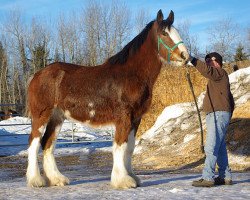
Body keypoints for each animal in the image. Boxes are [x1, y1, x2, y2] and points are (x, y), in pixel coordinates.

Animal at [26, 9, 188, 188]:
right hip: (41, 115)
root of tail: (37, 75)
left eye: (176, 32)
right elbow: (120, 146)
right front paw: (123, 180)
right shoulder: (124, 117)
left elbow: (129, 148)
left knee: (48, 143)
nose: (185, 56)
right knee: (34, 143)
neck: (131, 75)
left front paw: (132, 176)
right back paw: (36, 180)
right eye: (164, 33)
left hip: (57, 117)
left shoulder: (136, 119)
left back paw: (57, 179)